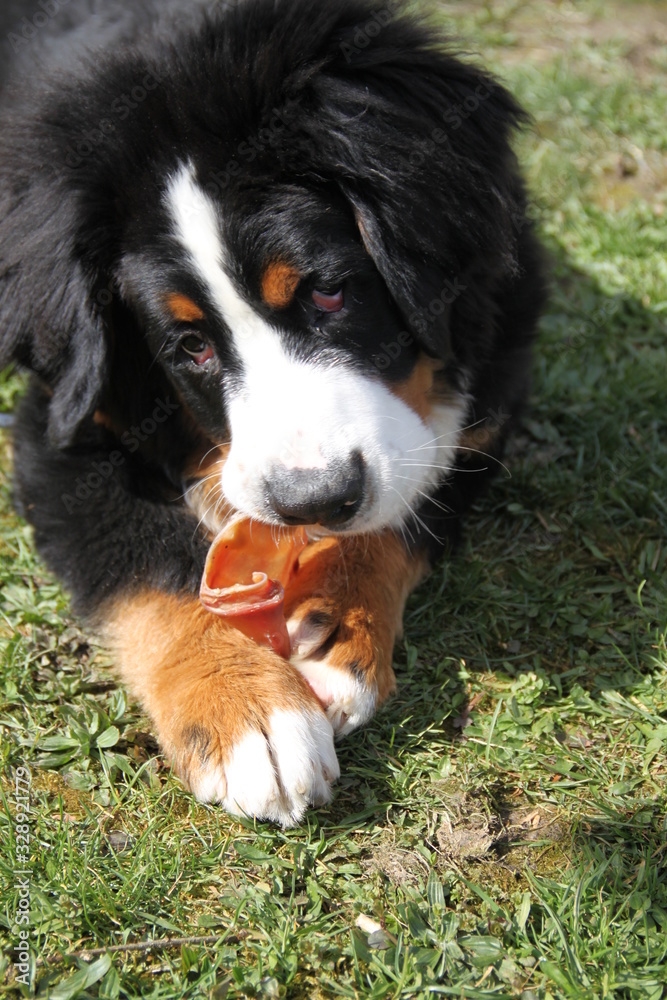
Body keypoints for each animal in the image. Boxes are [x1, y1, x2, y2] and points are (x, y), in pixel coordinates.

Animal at [0, 0, 544, 824]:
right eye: (189, 344)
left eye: (329, 290)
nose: (310, 500)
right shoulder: (65, 426)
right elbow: (153, 566)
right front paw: (250, 714)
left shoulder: (495, 375)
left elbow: (413, 489)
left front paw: (338, 624)